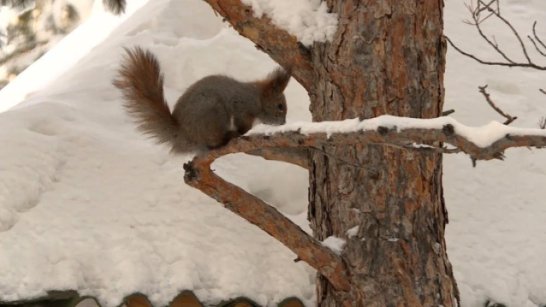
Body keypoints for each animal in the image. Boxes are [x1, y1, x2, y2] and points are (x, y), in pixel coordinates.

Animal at [111, 46, 288, 154]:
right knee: (214, 143)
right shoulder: (242, 106)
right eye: (280, 106)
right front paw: (243, 132)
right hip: (213, 113)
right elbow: (242, 123)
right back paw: (228, 136)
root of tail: (184, 136)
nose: (284, 122)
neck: (257, 97)